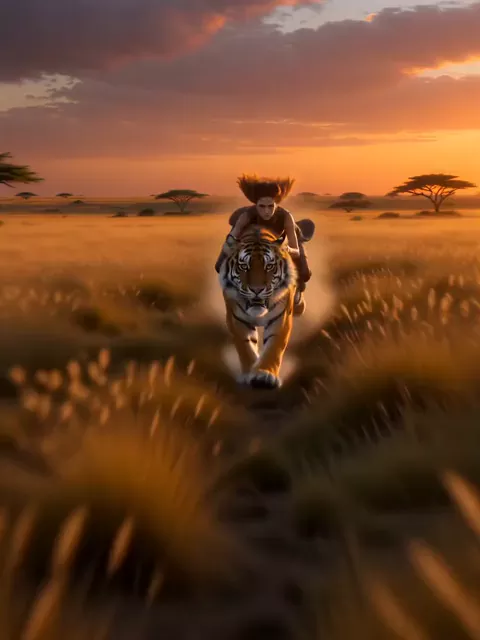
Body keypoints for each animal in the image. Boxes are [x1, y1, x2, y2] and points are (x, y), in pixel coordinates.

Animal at [218, 224, 305, 389]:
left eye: (269, 266)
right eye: (244, 266)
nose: (257, 289)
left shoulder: (281, 318)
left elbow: (274, 347)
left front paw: (264, 375)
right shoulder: (237, 319)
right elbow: (245, 347)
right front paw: (248, 374)